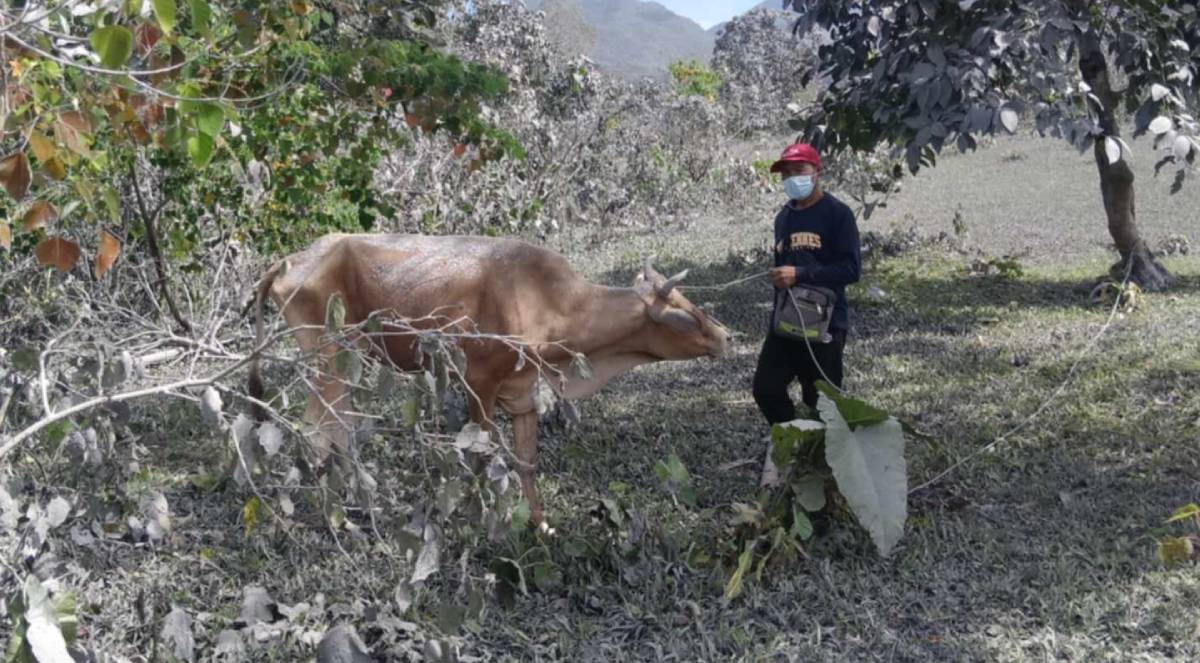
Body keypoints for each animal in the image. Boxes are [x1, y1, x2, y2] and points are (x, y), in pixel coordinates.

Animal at [247, 233, 724, 523]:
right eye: (683, 316)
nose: (725, 337)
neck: (552, 302)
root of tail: (291, 260)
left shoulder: (524, 394)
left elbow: (526, 461)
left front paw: (540, 526)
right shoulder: (478, 385)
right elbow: (483, 458)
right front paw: (485, 521)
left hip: (349, 364)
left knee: (340, 429)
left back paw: (362, 504)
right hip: (328, 359)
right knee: (316, 431)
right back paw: (336, 517)